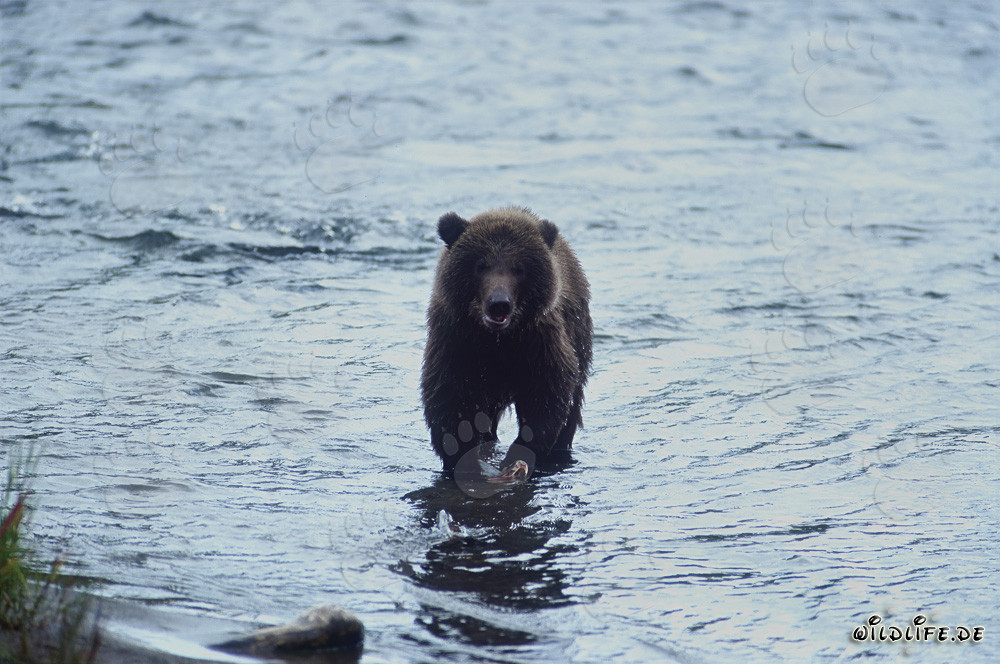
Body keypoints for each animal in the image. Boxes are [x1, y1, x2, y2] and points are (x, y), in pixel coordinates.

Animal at [421, 207, 592, 476]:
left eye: (519, 268)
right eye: (481, 265)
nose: (499, 303)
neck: (498, 340)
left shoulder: (538, 343)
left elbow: (547, 395)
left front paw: (518, 454)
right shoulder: (456, 340)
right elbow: (448, 395)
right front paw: (465, 456)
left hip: (579, 338)